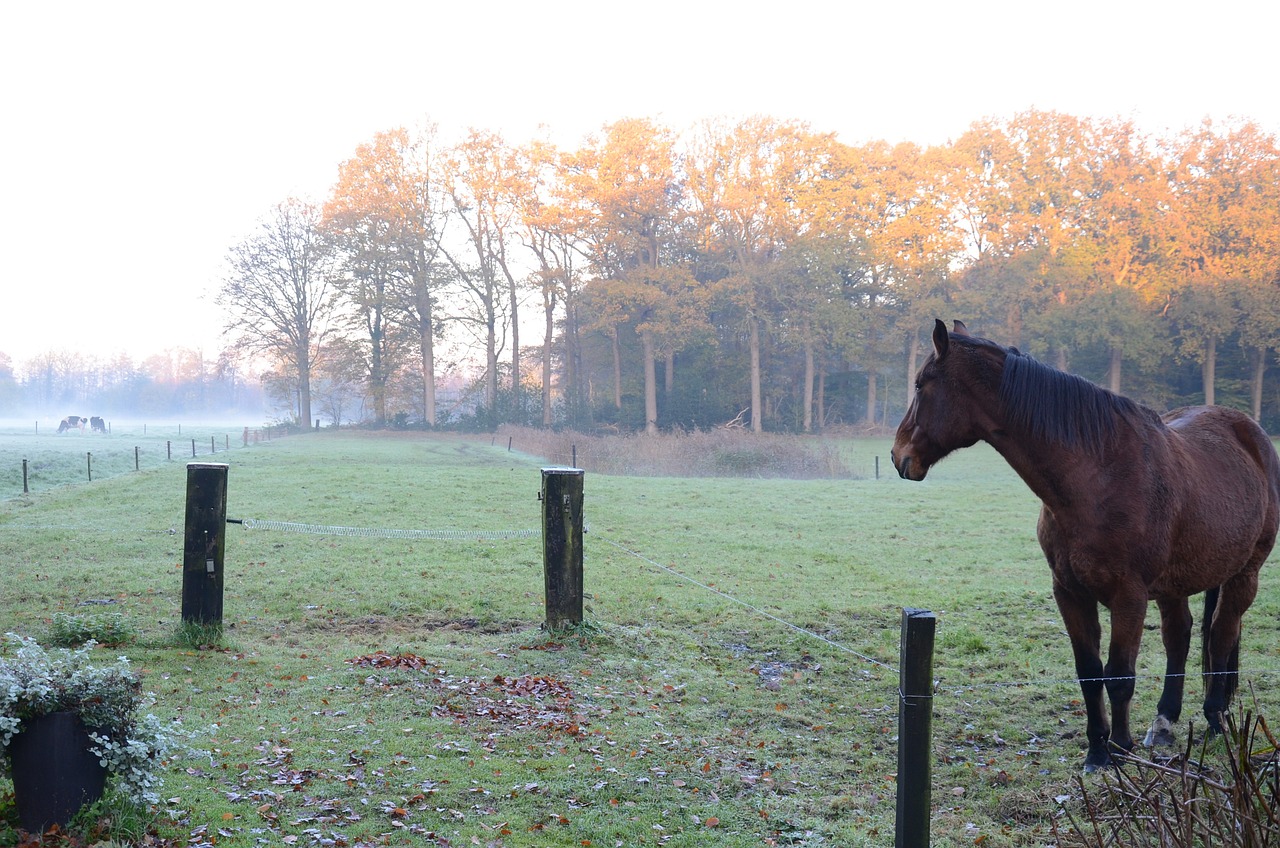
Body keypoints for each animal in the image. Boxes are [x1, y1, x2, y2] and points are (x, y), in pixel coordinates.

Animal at [890, 318, 1280, 768]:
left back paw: (1216, 719)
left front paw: (1121, 750)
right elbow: (1090, 672)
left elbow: (1120, 675)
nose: (898, 455)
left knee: (1220, 636)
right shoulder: (1070, 591)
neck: (1097, 475)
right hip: (1175, 583)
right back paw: (1165, 721)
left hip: (1244, 574)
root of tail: (1250, 432)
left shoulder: (1129, 596)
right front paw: (1097, 751)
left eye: (921, 384)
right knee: (1179, 636)